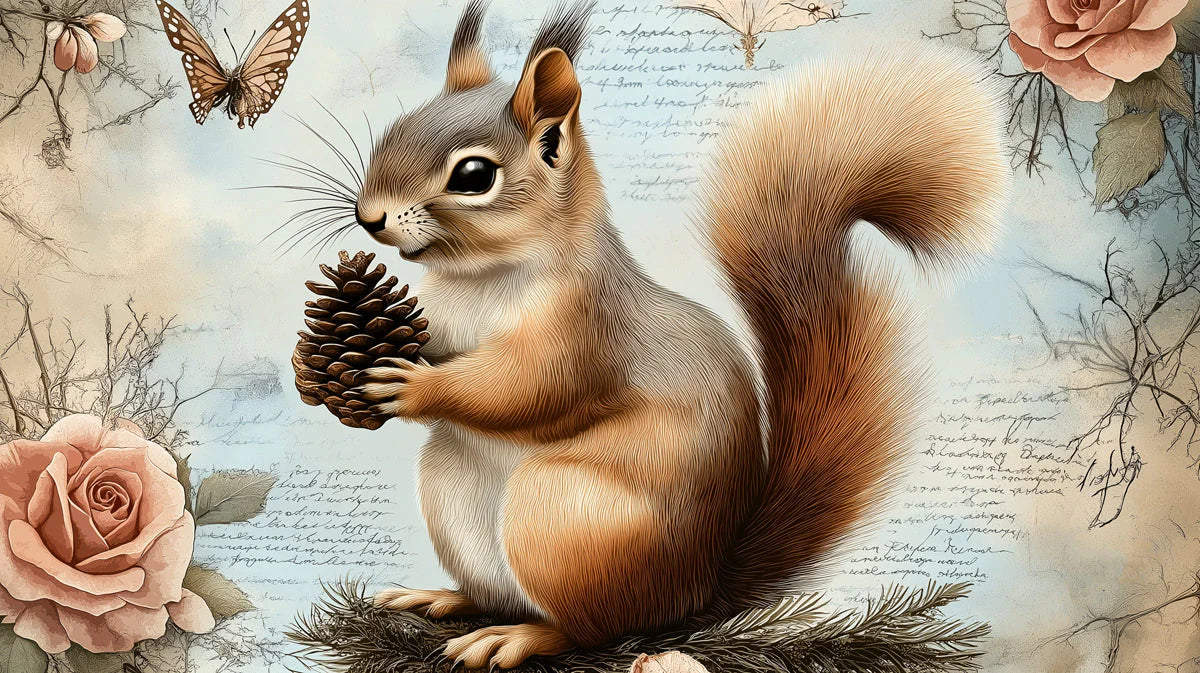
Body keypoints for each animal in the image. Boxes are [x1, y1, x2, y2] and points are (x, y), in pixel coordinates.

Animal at [349, 1, 1008, 669]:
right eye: (394, 131)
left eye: (474, 175)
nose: (369, 217)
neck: (478, 278)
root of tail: (699, 592)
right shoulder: (438, 314)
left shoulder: (587, 329)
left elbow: (526, 389)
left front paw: (413, 389)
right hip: (454, 492)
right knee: (500, 594)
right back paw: (446, 598)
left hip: (561, 515)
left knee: (595, 628)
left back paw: (518, 637)